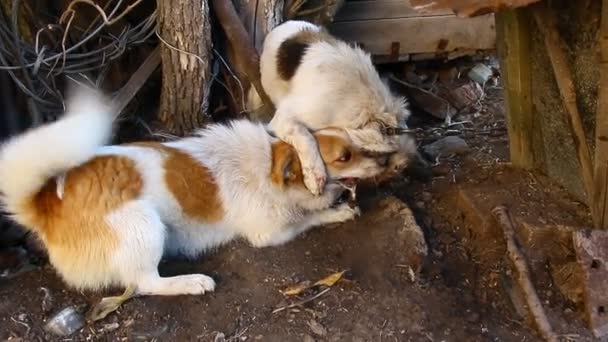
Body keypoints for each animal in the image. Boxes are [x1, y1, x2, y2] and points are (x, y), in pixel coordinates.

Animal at [0, 89, 388, 300]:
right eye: (345, 156)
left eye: (356, 144)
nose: (387, 160)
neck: (269, 164)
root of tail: (47, 203)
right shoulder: (270, 233)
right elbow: (311, 217)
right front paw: (337, 211)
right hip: (144, 225)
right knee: (145, 283)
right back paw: (189, 282)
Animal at [249, 20, 416, 195]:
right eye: (389, 158)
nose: (396, 175)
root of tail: (285, 23)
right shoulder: (284, 119)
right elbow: (306, 136)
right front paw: (315, 175)